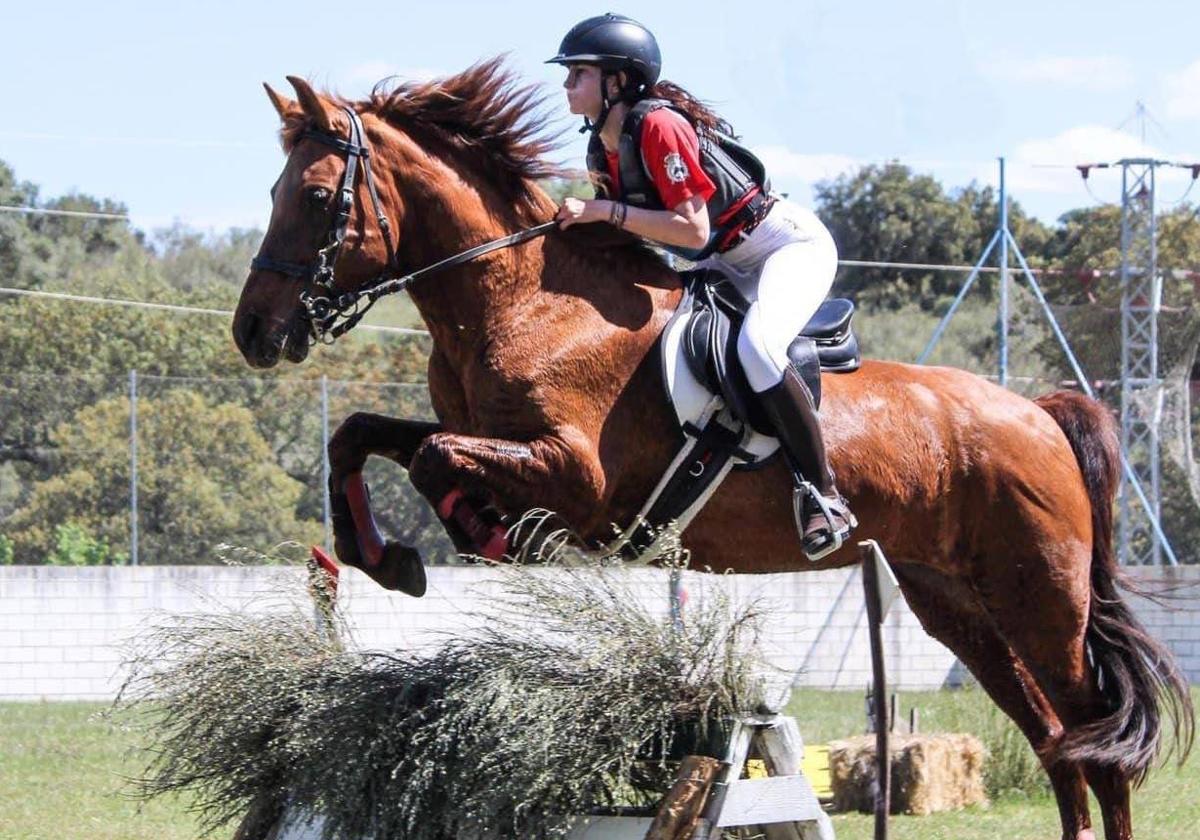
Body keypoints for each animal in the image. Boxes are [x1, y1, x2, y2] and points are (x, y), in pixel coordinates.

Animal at [231, 60, 1190, 840]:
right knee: (1060, 742)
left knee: (1092, 733)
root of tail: (1038, 413)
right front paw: (385, 555)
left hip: (1041, 596)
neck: (521, 299)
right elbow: (362, 437)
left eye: (314, 198)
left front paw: (482, 536)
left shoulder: (576, 476)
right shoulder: (487, 437)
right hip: (957, 604)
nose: (254, 333)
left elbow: (435, 464)